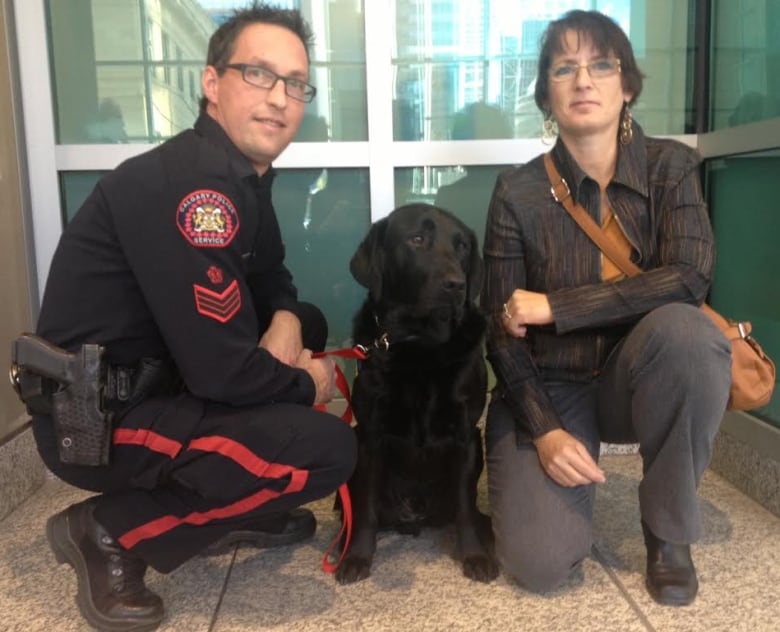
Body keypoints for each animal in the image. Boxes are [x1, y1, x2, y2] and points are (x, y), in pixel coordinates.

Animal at [336, 202, 500, 584]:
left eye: (462, 246)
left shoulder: (465, 436)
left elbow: (465, 506)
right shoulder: (370, 435)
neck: (420, 344)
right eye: (417, 240)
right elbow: (365, 508)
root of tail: (414, 517)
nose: (456, 285)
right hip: (353, 441)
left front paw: (474, 555)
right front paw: (358, 556)